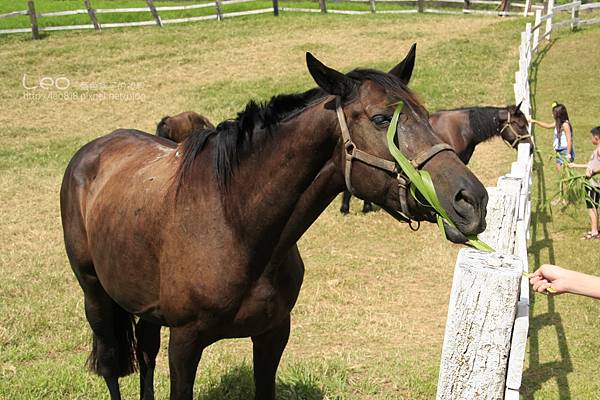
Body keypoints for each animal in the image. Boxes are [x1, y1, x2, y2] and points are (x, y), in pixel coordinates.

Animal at [59, 50, 488, 400]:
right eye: (382, 119)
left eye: (425, 115)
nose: (472, 200)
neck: (235, 225)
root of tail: (92, 151)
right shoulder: (184, 344)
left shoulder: (273, 333)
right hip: (95, 296)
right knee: (111, 364)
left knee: (145, 356)